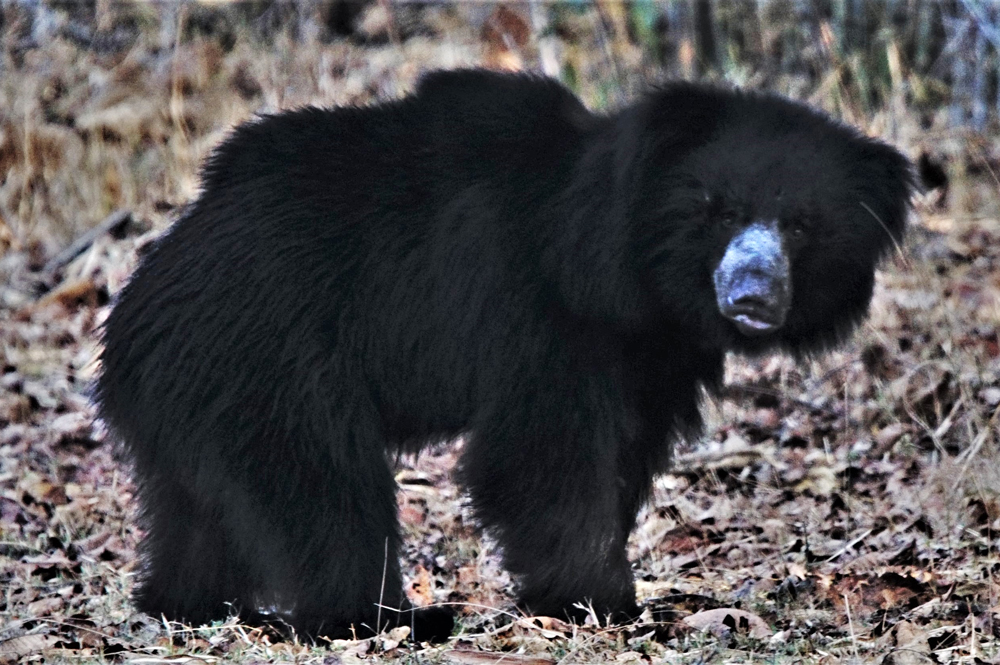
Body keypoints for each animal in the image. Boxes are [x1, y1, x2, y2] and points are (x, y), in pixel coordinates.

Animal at [95, 69, 914, 641]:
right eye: (719, 211)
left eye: (801, 225)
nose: (752, 292)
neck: (632, 277)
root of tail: (144, 292)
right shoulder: (543, 313)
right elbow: (540, 456)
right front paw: (601, 601)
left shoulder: (649, 354)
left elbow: (622, 452)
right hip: (271, 363)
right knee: (326, 493)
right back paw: (381, 617)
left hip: (199, 390)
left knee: (204, 505)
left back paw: (184, 603)